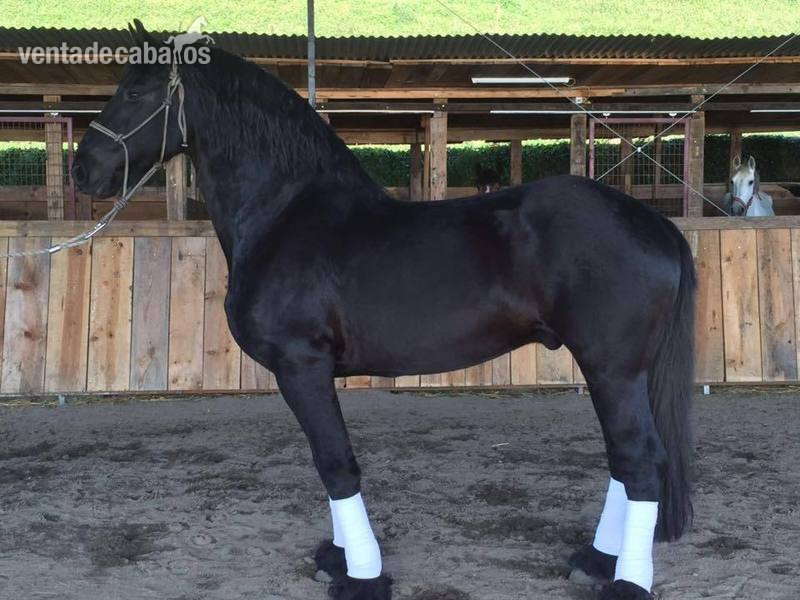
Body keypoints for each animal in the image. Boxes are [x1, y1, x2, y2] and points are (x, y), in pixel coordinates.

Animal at [71, 21, 695, 600]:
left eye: (136, 91)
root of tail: (652, 222)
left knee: (640, 462)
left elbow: (335, 463)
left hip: (612, 368)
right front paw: (339, 557)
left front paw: (363, 576)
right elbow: (329, 464)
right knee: (624, 461)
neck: (286, 212)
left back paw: (626, 581)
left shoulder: (302, 367)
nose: (82, 171)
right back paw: (597, 560)